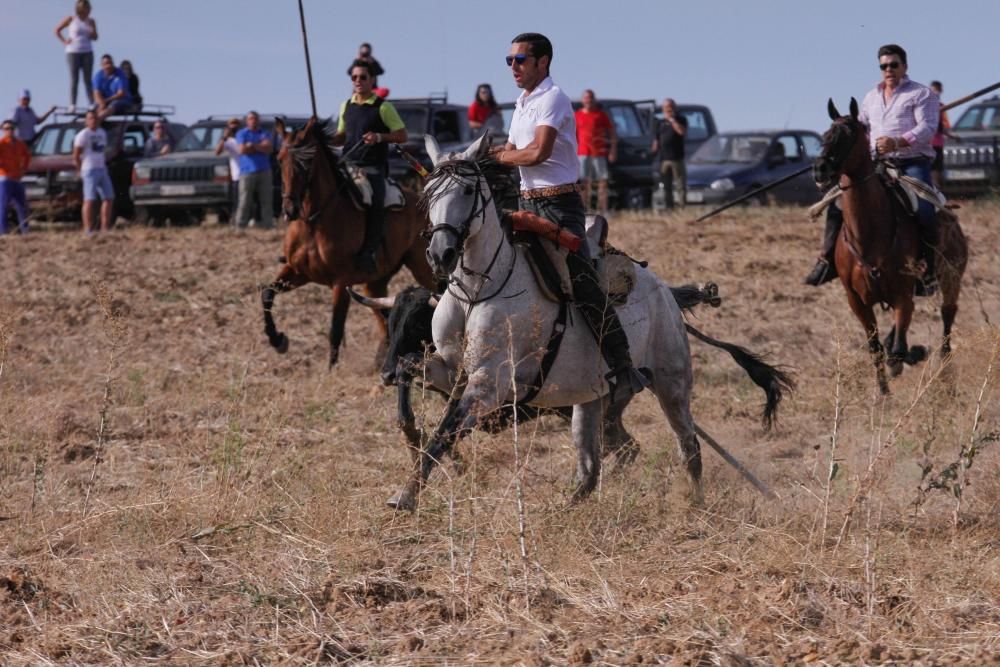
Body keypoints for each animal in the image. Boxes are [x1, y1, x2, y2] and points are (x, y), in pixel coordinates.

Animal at [262, 115, 438, 366]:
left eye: (307, 162)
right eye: (280, 159)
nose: (289, 209)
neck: (314, 222)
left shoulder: (341, 282)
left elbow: (335, 329)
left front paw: (330, 370)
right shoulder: (297, 271)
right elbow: (267, 294)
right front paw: (277, 340)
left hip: (422, 268)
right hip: (375, 282)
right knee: (382, 313)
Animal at [390, 134, 788, 512]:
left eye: (468, 191)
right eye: (428, 194)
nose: (440, 254)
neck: (478, 290)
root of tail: (666, 293)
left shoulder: (489, 383)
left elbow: (446, 430)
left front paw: (406, 496)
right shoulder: (451, 370)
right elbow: (408, 367)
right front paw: (409, 434)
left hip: (671, 384)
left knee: (688, 445)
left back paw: (696, 506)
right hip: (590, 397)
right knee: (589, 470)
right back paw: (560, 512)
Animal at [812, 98, 968, 392]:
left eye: (849, 134)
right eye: (825, 135)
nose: (820, 169)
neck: (869, 235)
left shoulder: (902, 294)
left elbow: (897, 348)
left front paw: (904, 359)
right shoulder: (857, 301)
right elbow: (875, 349)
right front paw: (883, 393)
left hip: (952, 278)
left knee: (947, 317)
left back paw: (944, 368)